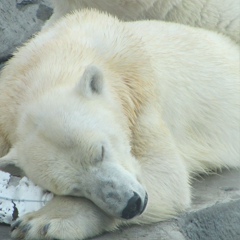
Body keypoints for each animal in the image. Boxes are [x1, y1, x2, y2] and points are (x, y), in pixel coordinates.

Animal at [0, 9, 239, 240]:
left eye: (100, 151)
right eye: (73, 188)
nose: (131, 204)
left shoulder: (139, 95)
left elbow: (166, 175)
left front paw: (41, 222)